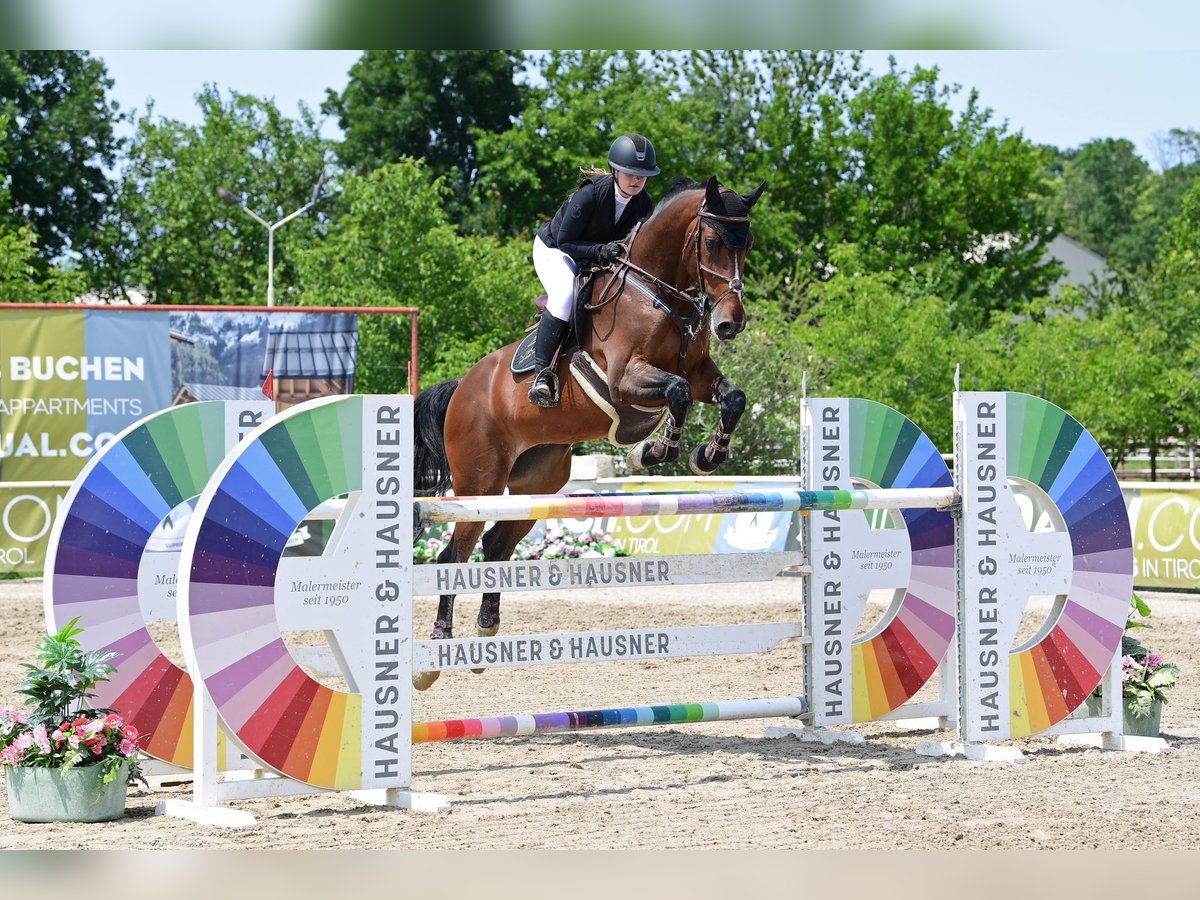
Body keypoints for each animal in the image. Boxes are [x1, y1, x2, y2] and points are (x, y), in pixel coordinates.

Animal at [411, 175, 765, 689]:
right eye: (713, 242)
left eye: (748, 243)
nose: (730, 323)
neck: (659, 296)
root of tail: (462, 388)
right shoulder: (625, 380)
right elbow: (676, 393)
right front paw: (654, 450)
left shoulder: (700, 373)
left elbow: (731, 397)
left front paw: (707, 456)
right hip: (480, 480)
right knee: (454, 556)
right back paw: (435, 653)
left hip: (538, 481)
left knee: (497, 543)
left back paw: (486, 631)